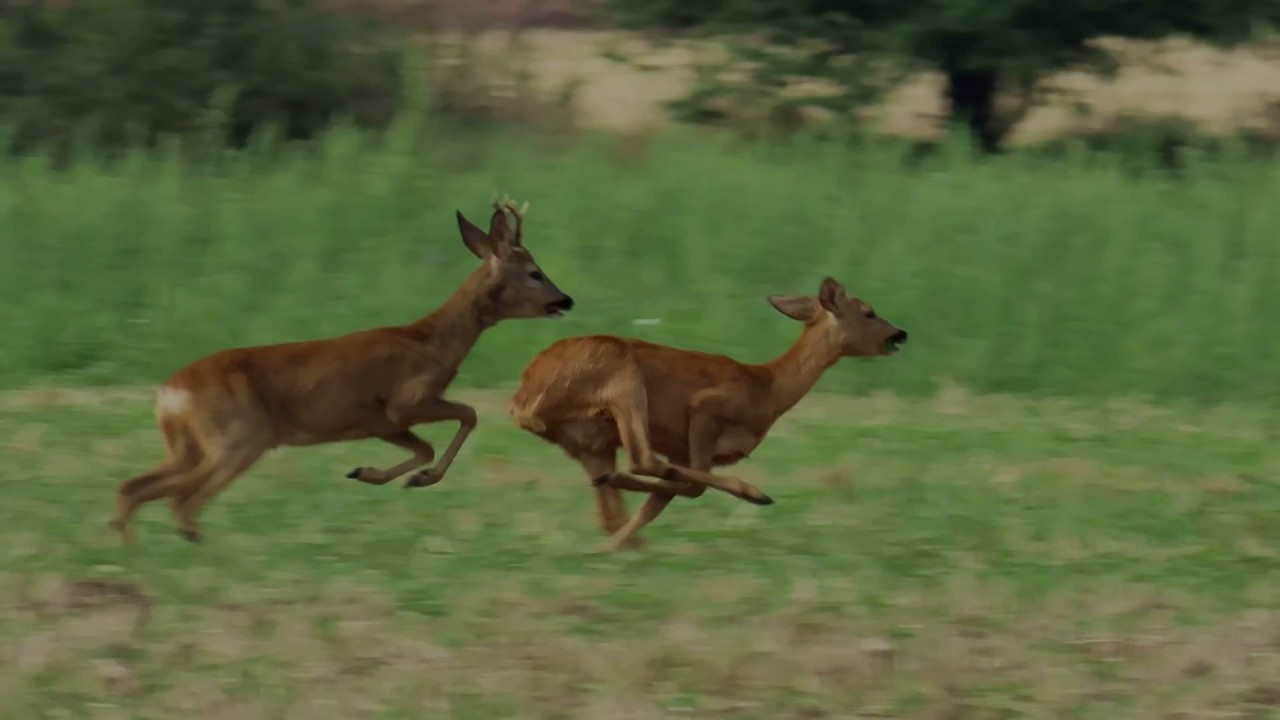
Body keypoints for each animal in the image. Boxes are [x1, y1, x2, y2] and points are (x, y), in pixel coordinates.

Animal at [111, 195, 574, 544]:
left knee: (132, 487)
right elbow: (470, 414)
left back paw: (129, 548)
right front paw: (419, 478)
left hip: (187, 444)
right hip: (238, 436)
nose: (566, 300)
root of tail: (170, 392)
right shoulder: (408, 400)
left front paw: (374, 474)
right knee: (181, 501)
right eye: (535, 273)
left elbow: (424, 447)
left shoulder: (379, 421)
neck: (434, 342)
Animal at [508, 276, 907, 552]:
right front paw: (754, 494)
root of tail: (523, 400)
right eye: (869, 312)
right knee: (641, 459)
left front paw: (614, 547)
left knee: (612, 505)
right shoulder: (705, 410)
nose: (901, 333)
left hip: (590, 439)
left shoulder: (683, 450)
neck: (768, 389)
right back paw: (752, 493)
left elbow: (663, 499)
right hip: (623, 376)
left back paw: (614, 517)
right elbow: (692, 485)